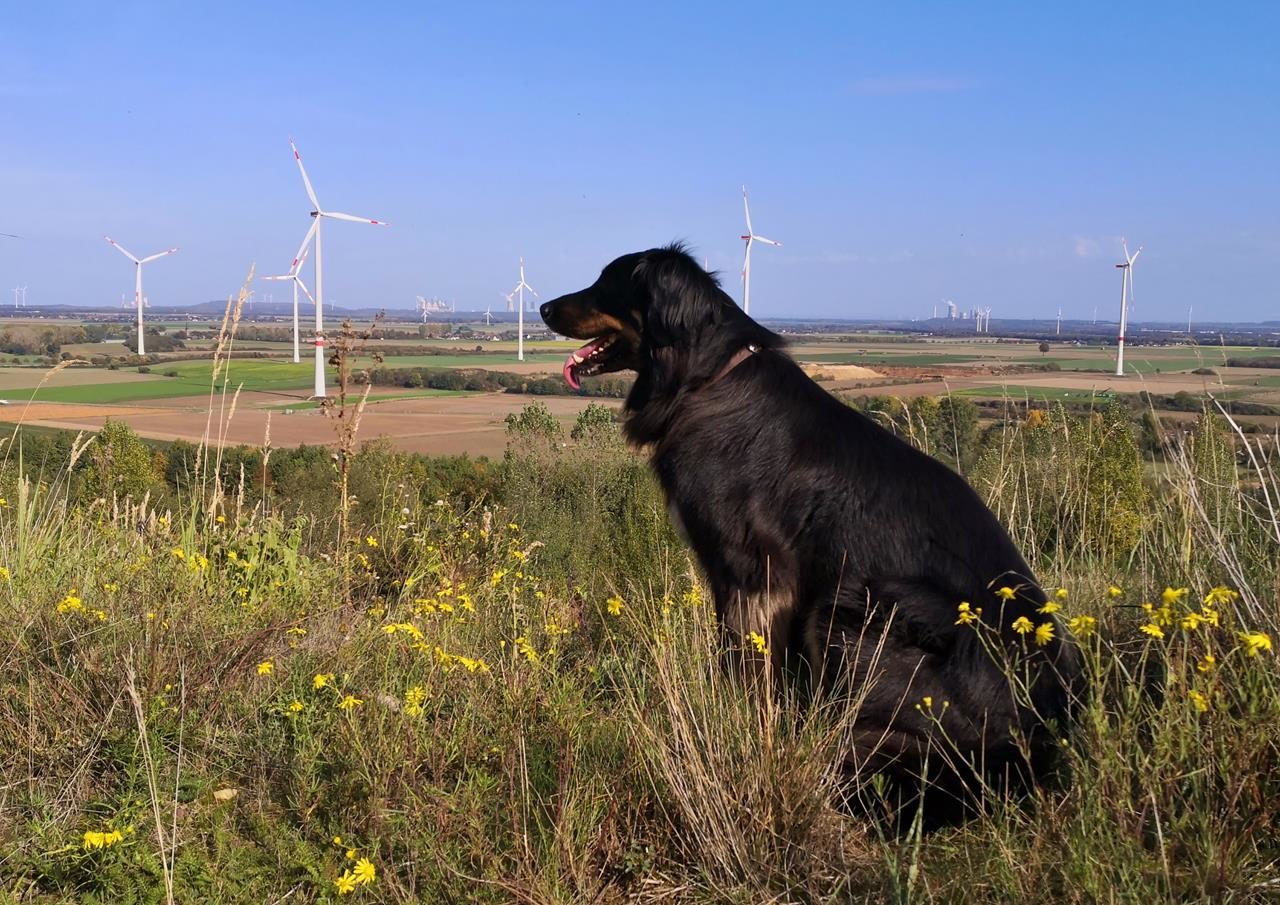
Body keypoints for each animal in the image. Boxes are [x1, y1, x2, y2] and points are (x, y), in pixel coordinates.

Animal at [537, 244, 1080, 824]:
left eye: (607, 282)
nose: (543, 308)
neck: (709, 380)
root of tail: (1037, 745)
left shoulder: (754, 574)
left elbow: (746, 671)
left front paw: (743, 731)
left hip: (859, 605)